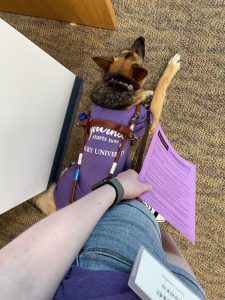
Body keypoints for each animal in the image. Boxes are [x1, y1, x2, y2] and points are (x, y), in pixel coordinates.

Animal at [31, 37, 180, 214]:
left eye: (126, 50)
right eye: (138, 54)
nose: (141, 38)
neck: (119, 83)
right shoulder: (151, 121)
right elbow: (159, 90)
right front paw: (170, 68)